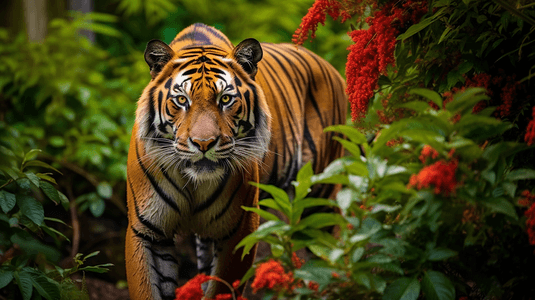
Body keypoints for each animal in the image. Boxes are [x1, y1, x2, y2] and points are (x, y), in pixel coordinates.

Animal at [126, 23, 348, 300]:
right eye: (181, 100)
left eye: (225, 99)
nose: (203, 143)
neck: (194, 183)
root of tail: (333, 69)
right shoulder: (146, 233)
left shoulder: (239, 230)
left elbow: (221, 287)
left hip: (319, 199)